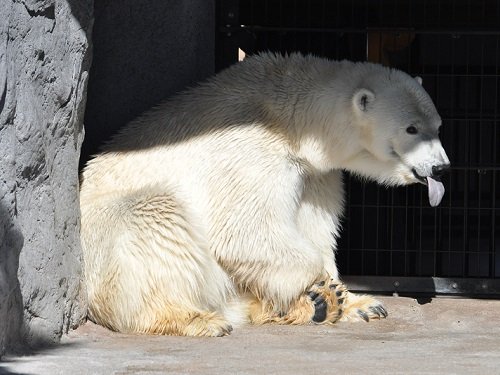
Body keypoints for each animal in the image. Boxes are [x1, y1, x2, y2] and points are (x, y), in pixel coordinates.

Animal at [81, 53, 450, 338]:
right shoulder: (250, 151)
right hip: (110, 240)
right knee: (155, 222)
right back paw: (198, 318)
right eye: (411, 128)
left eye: (438, 126)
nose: (442, 167)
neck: (291, 117)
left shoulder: (314, 174)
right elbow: (246, 231)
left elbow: (315, 228)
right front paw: (323, 289)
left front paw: (357, 302)